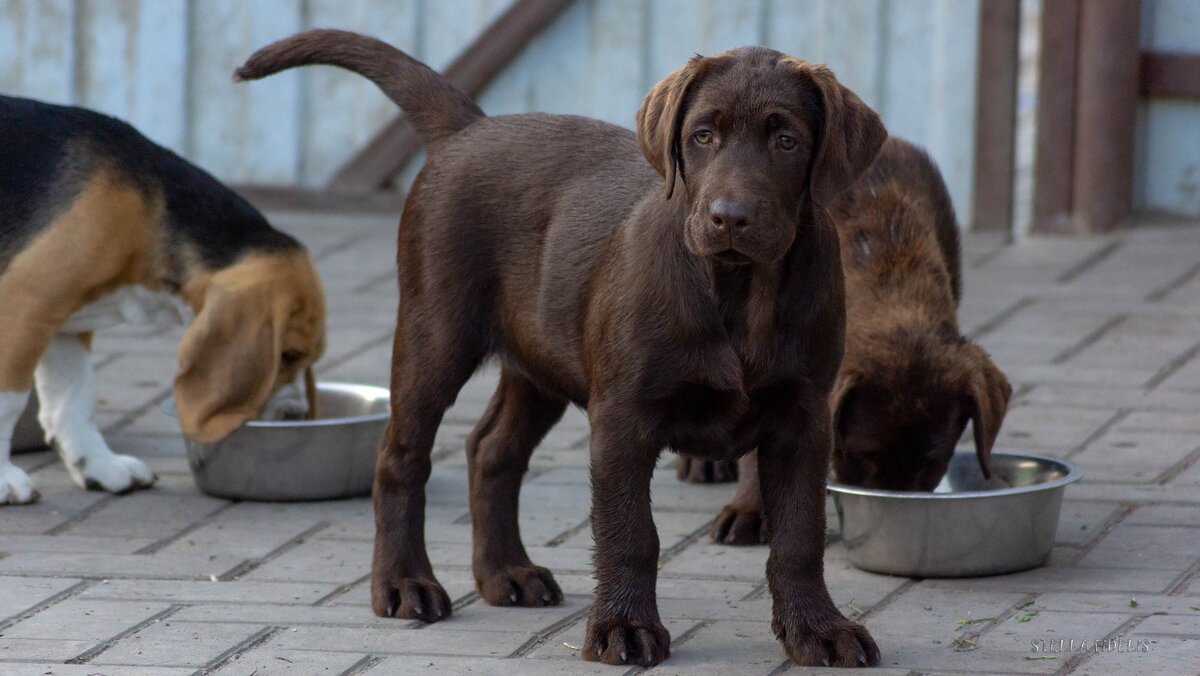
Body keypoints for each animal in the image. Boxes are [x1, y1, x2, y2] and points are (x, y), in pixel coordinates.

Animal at [0, 97, 326, 504]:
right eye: (289, 355)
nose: (297, 415)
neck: (148, 209)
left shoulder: (67, 321)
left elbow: (73, 400)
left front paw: (99, 466)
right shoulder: (24, 306)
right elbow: (9, 401)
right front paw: (4, 480)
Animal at [238, 30, 888, 667]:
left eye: (786, 140)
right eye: (703, 136)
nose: (729, 218)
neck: (738, 291)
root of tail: (469, 128)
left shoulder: (802, 418)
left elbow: (800, 535)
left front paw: (817, 630)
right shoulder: (623, 416)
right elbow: (631, 530)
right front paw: (624, 628)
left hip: (540, 360)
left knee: (491, 449)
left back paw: (506, 573)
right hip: (435, 333)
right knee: (401, 457)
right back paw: (403, 583)